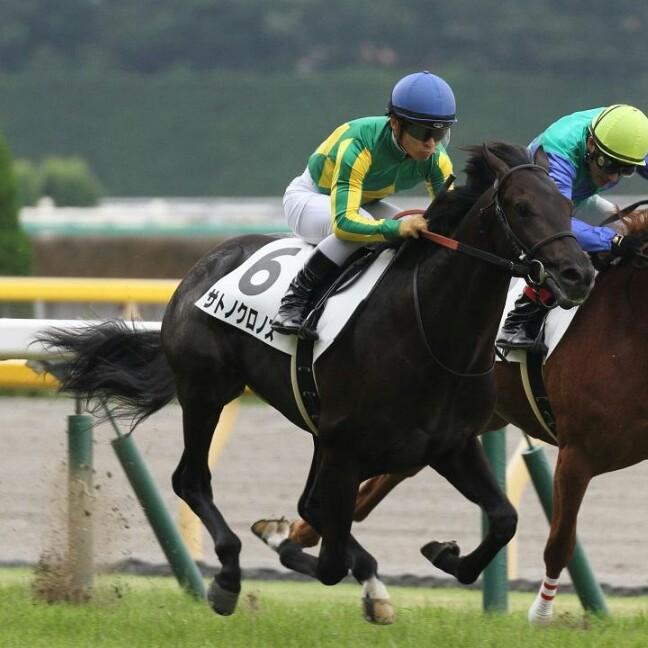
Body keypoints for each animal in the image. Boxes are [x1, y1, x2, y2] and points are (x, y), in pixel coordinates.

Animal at [38, 141, 594, 623]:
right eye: (521, 207)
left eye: (567, 204)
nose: (579, 274)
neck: (430, 331)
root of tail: (203, 265)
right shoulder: (347, 449)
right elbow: (330, 561)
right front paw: (330, 564)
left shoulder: (449, 445)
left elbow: (503, 519)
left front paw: (444, 554)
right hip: (206, 391)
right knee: (191, 480)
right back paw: (229, 576)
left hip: (308, 426)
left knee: (304, 503)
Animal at [271, 207, 648, 625]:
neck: (628, 321)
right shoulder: (576, 454)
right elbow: (560, 543)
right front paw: (540, 615)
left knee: (377, 484)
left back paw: (303, 536)